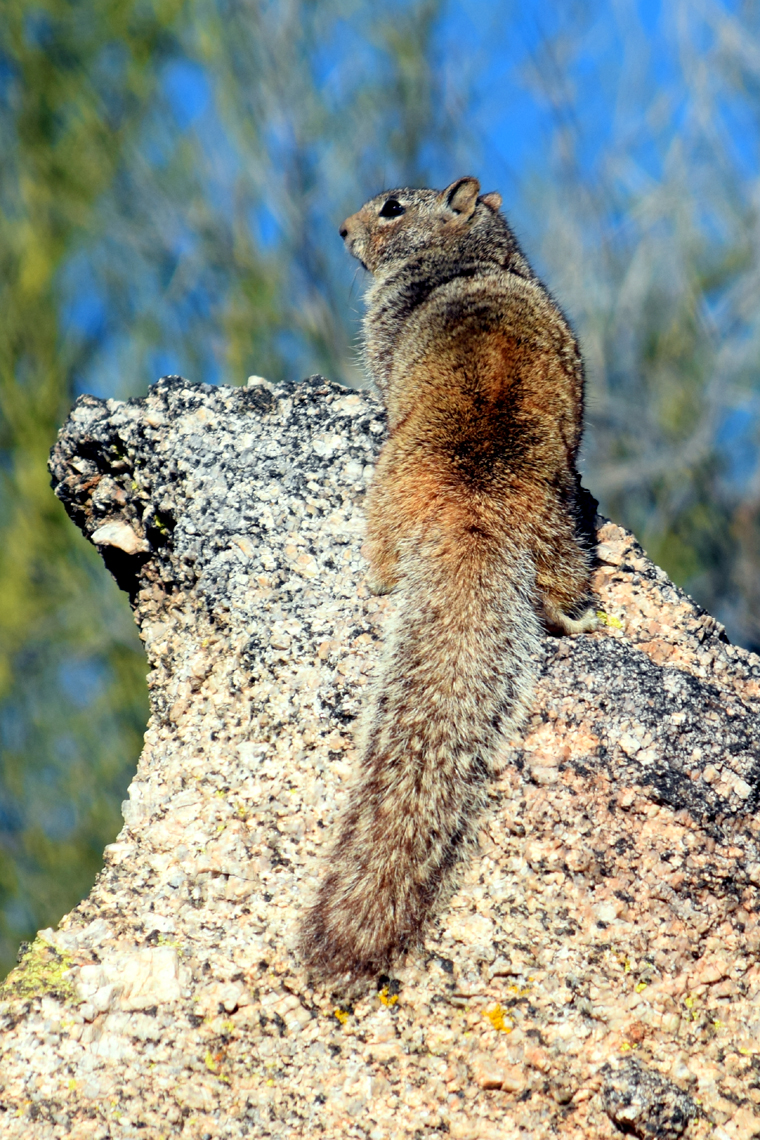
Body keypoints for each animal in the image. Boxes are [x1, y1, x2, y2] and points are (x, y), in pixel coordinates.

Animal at [296, 177, 601, 980]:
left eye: (391, 206)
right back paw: (576, 617)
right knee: (557, 594)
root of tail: (475, 506)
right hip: (559, 538)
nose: (340, 229)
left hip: (385, 506)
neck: (471, 254)